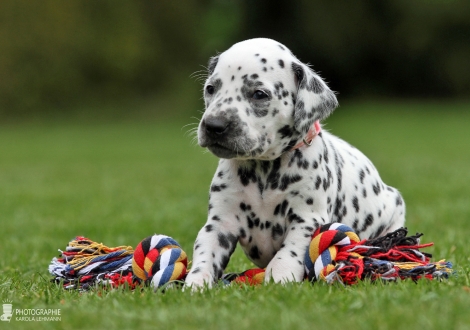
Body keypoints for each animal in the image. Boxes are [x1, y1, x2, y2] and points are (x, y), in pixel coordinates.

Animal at [185, 37, 406, 288]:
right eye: (211, 88)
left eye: (259, 94)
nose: (214, 125)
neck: (264, 170)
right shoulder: (220, 222)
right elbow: (206, 253)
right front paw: (195, 284)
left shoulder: (307, 219)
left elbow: (288, 254)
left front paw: (278, 279)